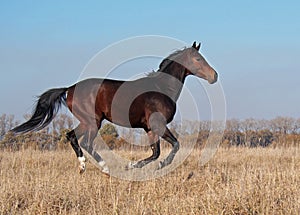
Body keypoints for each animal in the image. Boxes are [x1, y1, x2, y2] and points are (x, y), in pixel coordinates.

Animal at [10, 41, 217, 175]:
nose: (214, 76)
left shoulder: (150, 129)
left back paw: (83, 166)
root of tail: (69, 89)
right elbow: (173, 147)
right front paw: (139, 166)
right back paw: (104, 168)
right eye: (198, 59)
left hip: (88, 121)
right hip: (93, 122)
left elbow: (156, 152)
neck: (161, 88)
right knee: (86, 143)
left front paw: (135, 166)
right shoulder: (158, 125)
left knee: (72, 137)